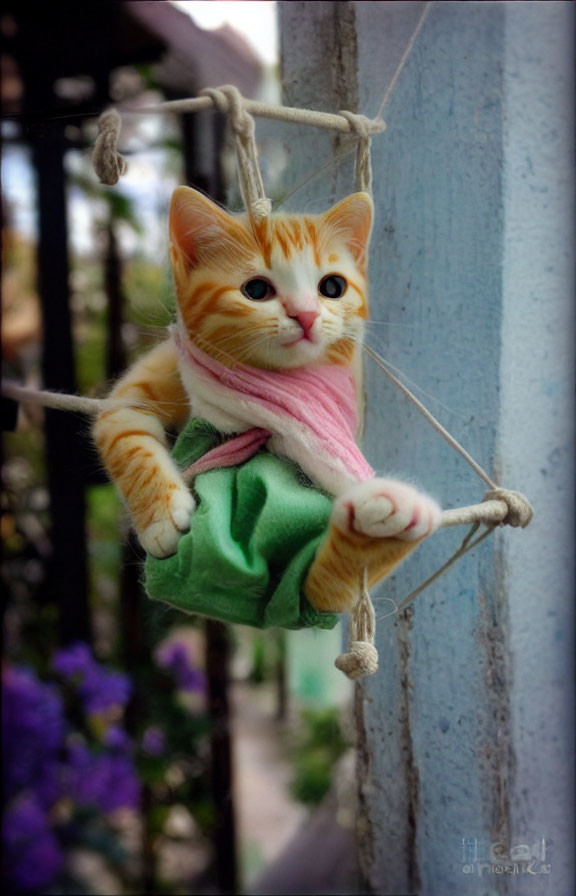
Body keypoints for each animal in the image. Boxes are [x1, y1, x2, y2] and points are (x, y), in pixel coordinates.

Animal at [94, 186, 438, 612]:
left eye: (332, 287)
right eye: (256, 290)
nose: (306, 316)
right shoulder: (149, 380)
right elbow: (125, 433)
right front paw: (161, 518)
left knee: (318, 591)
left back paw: (392, 514)